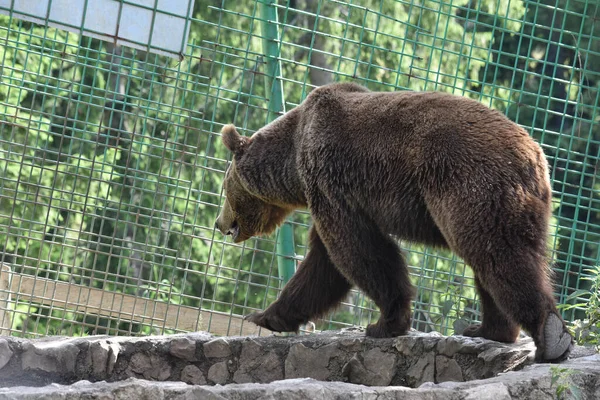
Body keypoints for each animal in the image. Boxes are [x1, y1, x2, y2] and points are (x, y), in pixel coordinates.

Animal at [214, 81, 572, 362]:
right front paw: (267, 315)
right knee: (494, 263)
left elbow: (358, 252)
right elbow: (324, 262)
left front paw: (384, 323)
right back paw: (488, 328)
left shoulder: (329, 179)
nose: (219, 223)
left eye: (223, 187)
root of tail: (535, 155)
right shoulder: (329, 191)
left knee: (499, 255)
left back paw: (550, 336)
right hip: (519, 204)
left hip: (469, 184)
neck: (293, 161)